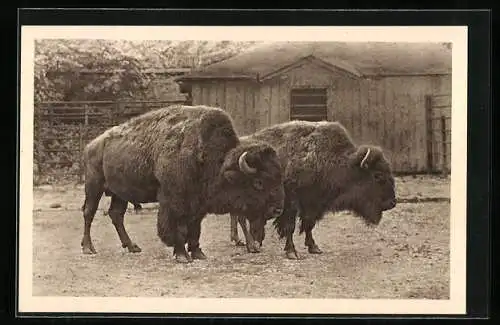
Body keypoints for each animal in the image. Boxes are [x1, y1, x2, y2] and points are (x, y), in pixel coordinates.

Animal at [82, 105, 286, 262]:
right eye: (258, 182)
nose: (277, 210)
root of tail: (91, 145)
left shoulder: (198, 205)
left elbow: (195, 229)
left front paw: (198, 253)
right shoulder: (174, 201)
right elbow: (178, 227)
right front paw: (181, 255)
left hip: (120, 193)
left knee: (116, 215)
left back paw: (132, 246)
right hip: (94, 185)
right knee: (89, 212)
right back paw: (88, 248)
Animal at [229, 120, 396, 260]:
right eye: (377, 175)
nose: (392, 203)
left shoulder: (313, 204)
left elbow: (309, 224)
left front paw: (314, 248)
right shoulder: (291, 203)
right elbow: (290, 226)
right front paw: (292, 252)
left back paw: (246, 241)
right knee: (240, 217)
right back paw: (250, 244)